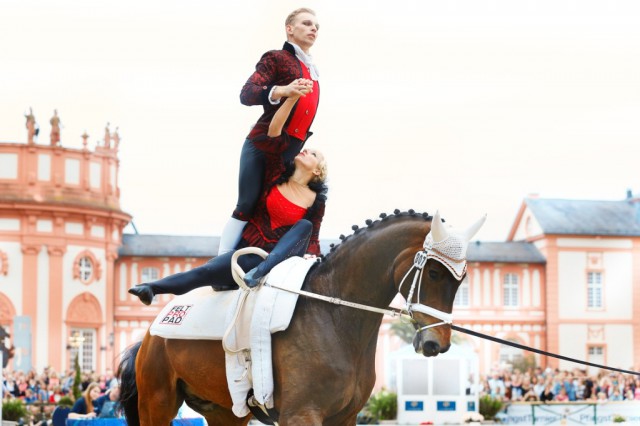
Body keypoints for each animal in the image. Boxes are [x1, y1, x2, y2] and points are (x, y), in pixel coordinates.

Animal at [119, 211, 484, 426]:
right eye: (434, 273)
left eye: (463, 280)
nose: (437, 344)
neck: (334, 317)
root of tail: (149, 336)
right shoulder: (302, 415)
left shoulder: (345, 418)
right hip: (157, 404)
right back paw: (147, 289)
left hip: (224, 412)